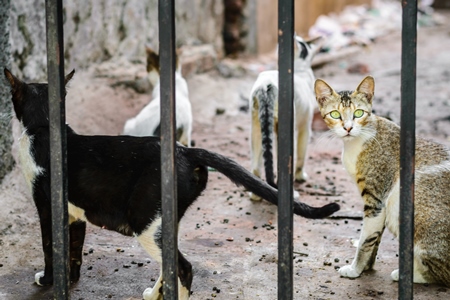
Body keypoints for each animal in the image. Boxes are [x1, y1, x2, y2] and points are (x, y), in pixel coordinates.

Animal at [4, 68, 342, 300]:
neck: (44, 127)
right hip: (162, 219)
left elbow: (50, 246)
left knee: (184, 267)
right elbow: (73, 249)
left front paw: (47, 280)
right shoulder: (76, 213)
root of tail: (184, 149)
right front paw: (71, 280)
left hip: (144, 220)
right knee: (171, 262)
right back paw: (154, 294)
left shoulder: (47, 205)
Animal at [248, 34, 322, 202]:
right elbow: (301, 155)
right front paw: (301, 176)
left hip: (257, 125)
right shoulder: (305, 126)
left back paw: (256, 195)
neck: (299, 70)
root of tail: (266, 85)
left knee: (256, 166)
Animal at [314, 75, 450, 286]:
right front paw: (367, 267)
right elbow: (375, 238)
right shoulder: (380, 203)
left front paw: (355, 269)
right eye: (335, 114)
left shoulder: (376, 198)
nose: (348, 128)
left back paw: (409, 275)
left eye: (359, 113)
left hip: (400, 203)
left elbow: (365, 239)